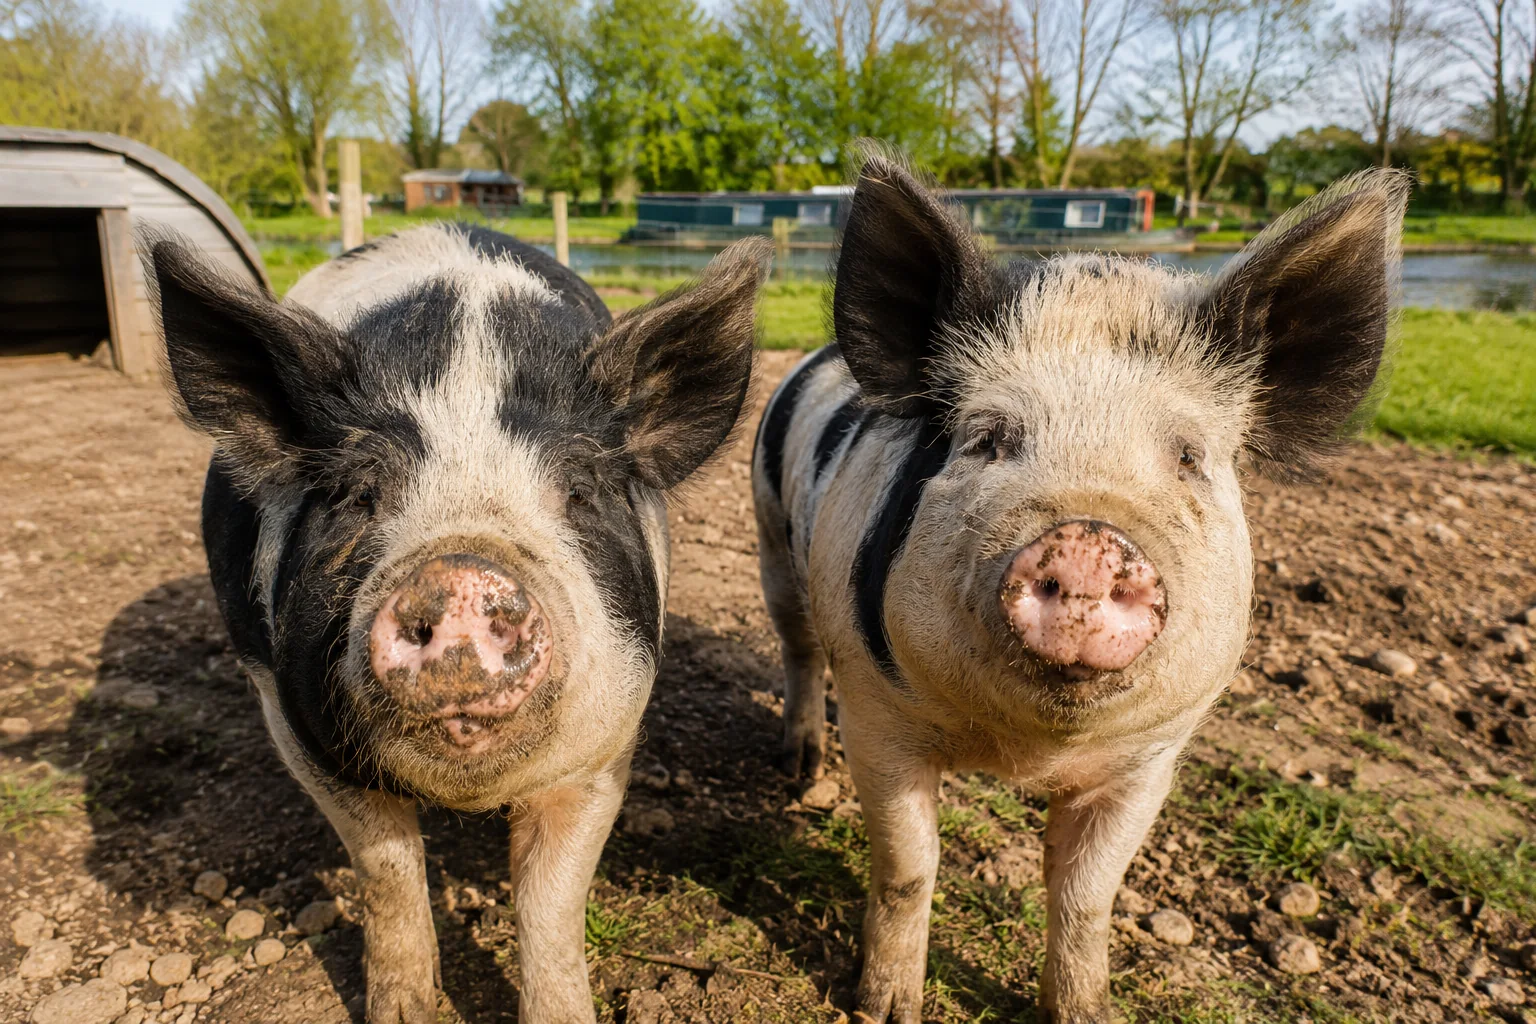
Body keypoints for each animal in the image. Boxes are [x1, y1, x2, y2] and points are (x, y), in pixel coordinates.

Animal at [142, 222, 771, 1023]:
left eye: (580, 490)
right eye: (356, 493)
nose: (460, 577)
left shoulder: (606, 745)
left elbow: (551, 900)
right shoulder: (295, 727)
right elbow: (386, 869)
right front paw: (405, 1010)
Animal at [752, 156, 1408, 1022]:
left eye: (1190, 457)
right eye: (987, 440)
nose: (1092, 541)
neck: (1027, 749)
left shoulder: (1153, 756)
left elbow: (1088, 895)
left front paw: (1089, 1011)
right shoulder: (878, 716)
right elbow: (907, 868)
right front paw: (883, 1008)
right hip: (770, 533)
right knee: (798, 648)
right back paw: (798, 769)